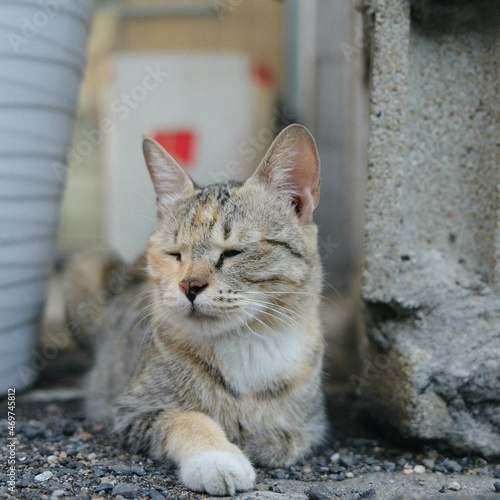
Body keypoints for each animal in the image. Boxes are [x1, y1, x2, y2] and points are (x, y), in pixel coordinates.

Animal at [64, 124, 326, 496]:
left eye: (233, 252)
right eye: (174, 254)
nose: (189, 285)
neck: (246, 343)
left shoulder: (312, 425)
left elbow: (286, 440)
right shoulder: (135, 408)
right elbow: (188, 417)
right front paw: (218, 458)